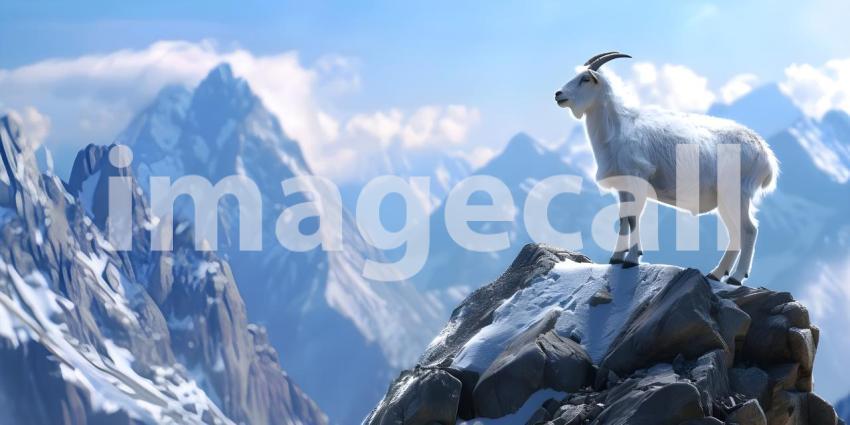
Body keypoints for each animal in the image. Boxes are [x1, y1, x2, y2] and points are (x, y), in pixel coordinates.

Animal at [555, 52, 778, 285]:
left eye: (585, 79)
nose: (558, 95)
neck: (617, 128)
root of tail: (765, 154)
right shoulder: (624, 186)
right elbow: (624, 218)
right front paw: (616, 258)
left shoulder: (638, 178)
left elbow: (633, 219)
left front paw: (632, 259)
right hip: (727, 199)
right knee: (736, 232)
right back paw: (716, 274)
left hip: (735, 193)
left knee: (749, 230)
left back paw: (735, 277)